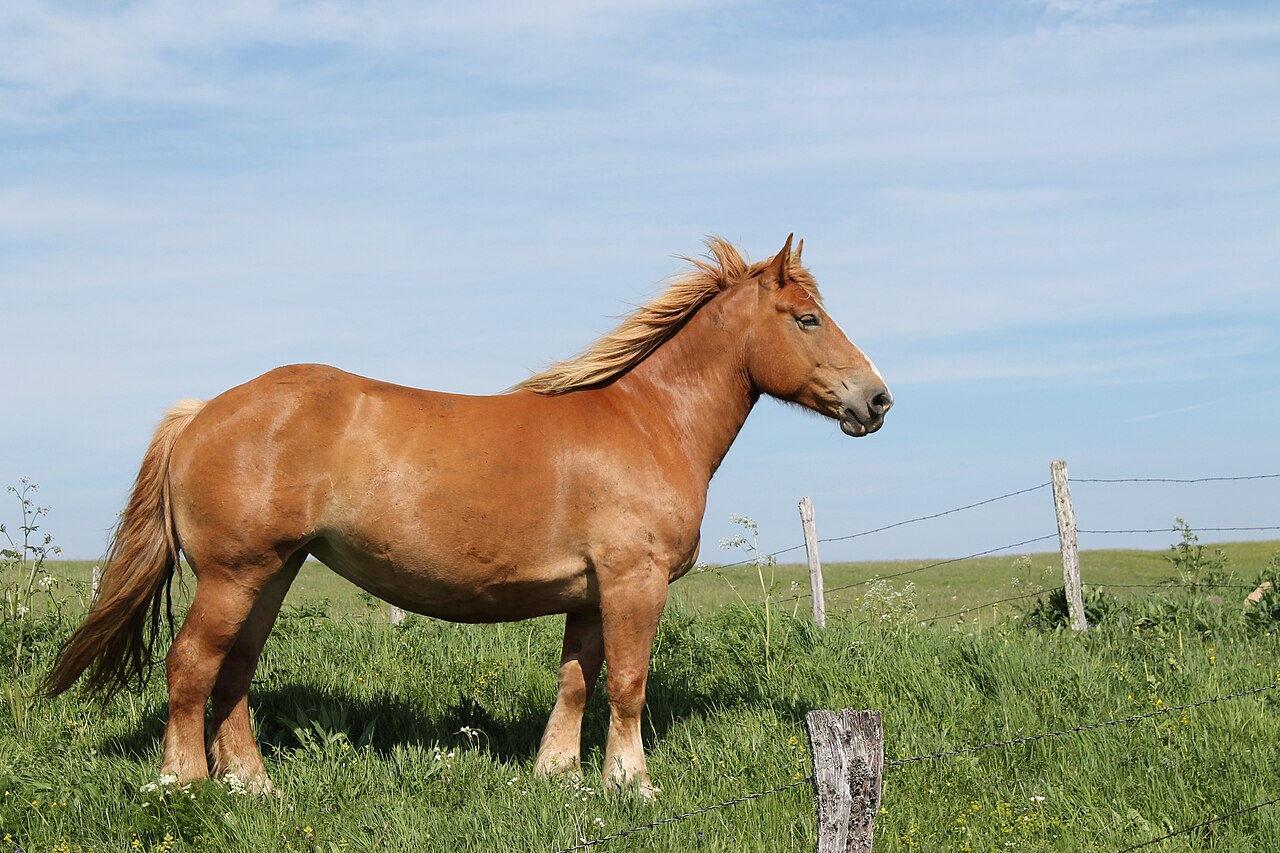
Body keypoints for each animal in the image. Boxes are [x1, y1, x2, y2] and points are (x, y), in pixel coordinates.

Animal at [43, 235, 891, 796]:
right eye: (807, 318)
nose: (877, 399)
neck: (646, 421)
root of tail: (200, 413)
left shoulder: (590, 594)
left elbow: (576, 681)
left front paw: (556, 773)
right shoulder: (633, 582)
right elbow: (628, 684)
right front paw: (631, 782)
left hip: (270, 575)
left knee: (235, 673)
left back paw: (252, 785)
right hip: (232, 575)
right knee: (190, 666)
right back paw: (182, 782)